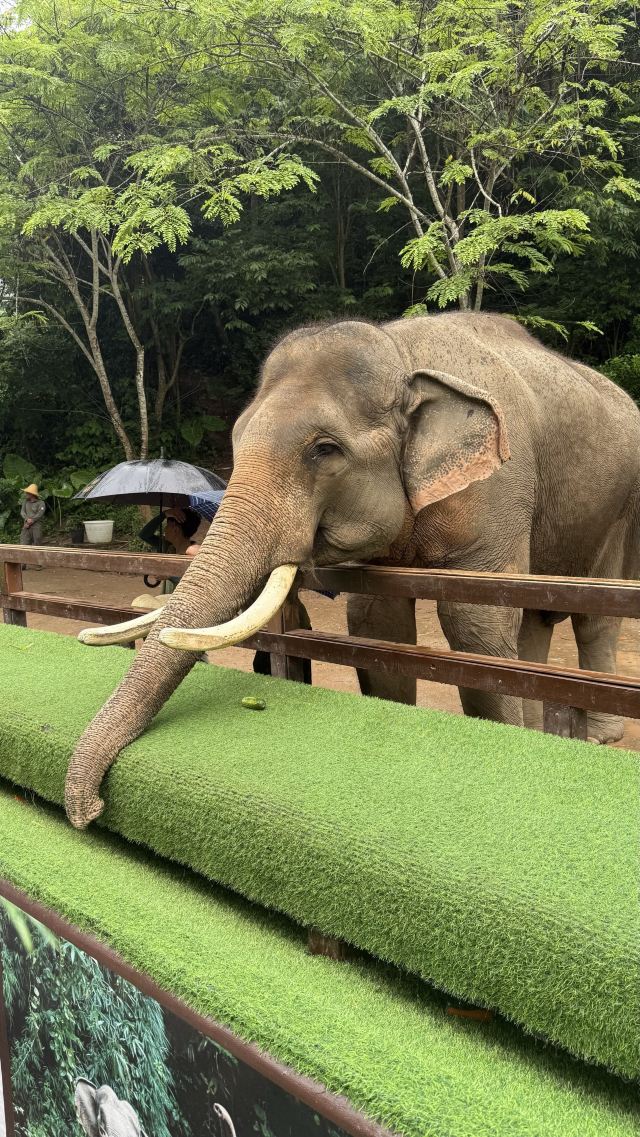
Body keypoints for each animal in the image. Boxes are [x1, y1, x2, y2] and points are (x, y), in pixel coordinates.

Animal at [64, 312, 640, 829]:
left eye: (324, 449)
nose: (90, 812)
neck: (401, 351)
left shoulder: (499, 487)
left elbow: (474, 621)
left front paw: (508, 735)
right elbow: (375, 619)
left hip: (620, 506)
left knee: (595, 610)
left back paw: (600, 734)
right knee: (538, 618)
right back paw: (544, 725)